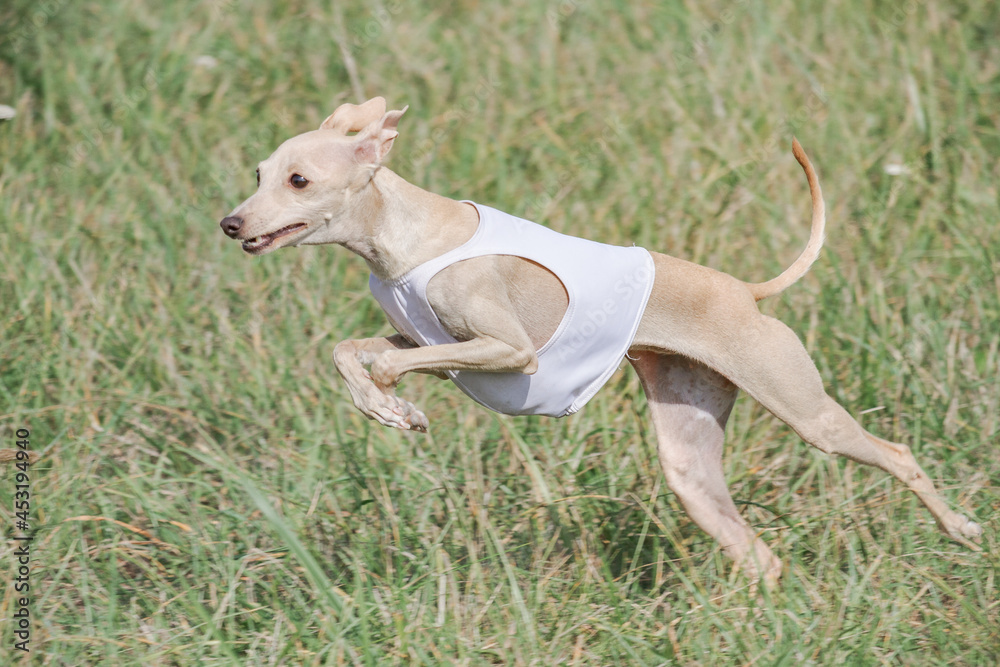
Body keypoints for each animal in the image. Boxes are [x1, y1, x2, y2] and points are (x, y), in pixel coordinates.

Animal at [217, 95, 976, 584]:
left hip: (805, 409)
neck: (406, 235)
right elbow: (351, 350)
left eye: (299, 179)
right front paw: (385, 407)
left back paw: (960, 529)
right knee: (760, 555)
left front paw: (394, 404)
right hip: (690, 464)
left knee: (897, 454)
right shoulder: (424, 339)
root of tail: (744, 291)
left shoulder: (507, 352)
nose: (231, 222)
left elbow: (388, 361)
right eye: (258, 173)